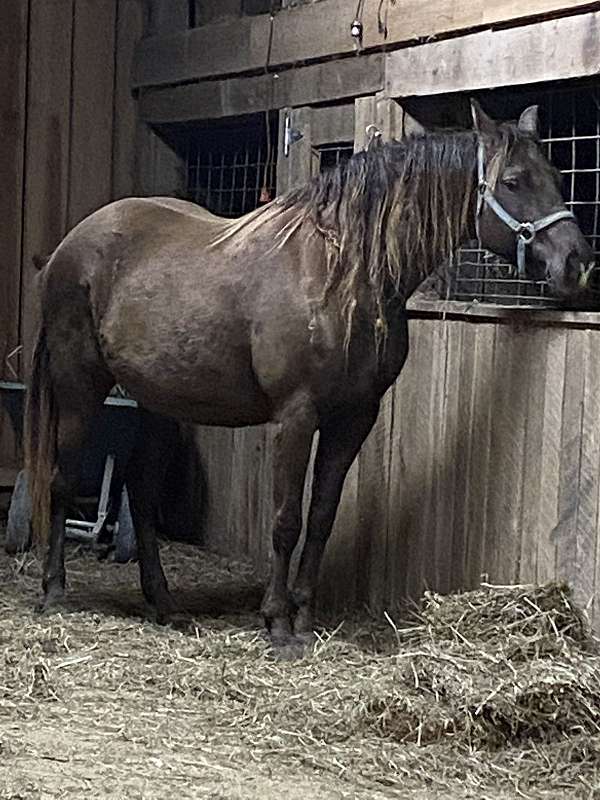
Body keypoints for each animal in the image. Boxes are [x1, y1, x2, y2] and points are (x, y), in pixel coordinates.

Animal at [23, 103, 592, 648]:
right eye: (514, 181)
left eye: (555, 175)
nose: (578, 262)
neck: (341, 277)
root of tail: (65, 250)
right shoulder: (296, 417)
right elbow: (285, 520)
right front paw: (277, 623)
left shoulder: (354, 418)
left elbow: (320, 517)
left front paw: (305, 617)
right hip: (79, 386)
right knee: (62, 479)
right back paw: (54, 593)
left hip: (160, 402)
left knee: (141, 494)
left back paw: (164, 604)